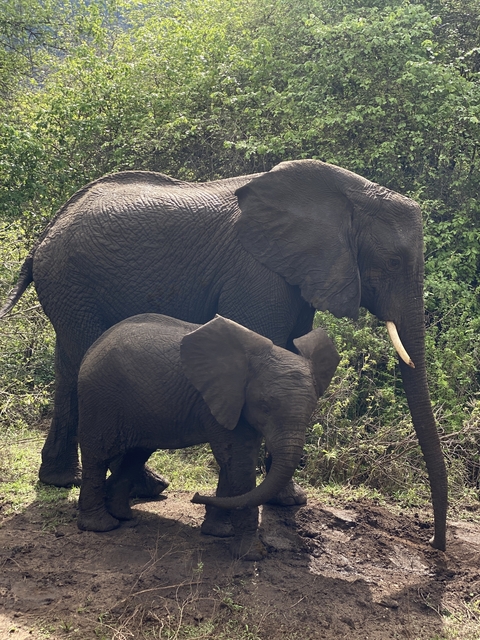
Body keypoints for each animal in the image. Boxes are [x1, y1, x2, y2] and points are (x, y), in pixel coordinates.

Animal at [76, 313, 340, 559]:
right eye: (264, 406)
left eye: (312, 408)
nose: (195, 497)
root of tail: (94, 346)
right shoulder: (222, 401)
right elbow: (239, 463)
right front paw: (250, 555)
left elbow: (232, 464)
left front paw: (219, 532)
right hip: (100, 397)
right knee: (98, 457)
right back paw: (102, 526)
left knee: (136, 454)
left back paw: (123, 515)